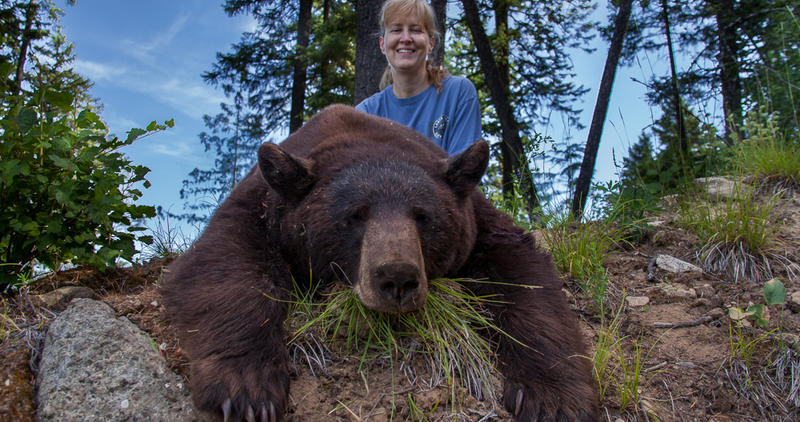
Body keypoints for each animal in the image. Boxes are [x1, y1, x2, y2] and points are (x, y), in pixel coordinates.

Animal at [161, 104, 592, 420]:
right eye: (355, 215)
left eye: (423, 216)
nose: (397, 277)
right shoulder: (262, 204)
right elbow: (226, 259)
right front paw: (247, 387)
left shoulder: (478, 221)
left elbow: (524, 277)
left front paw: (553, 398)